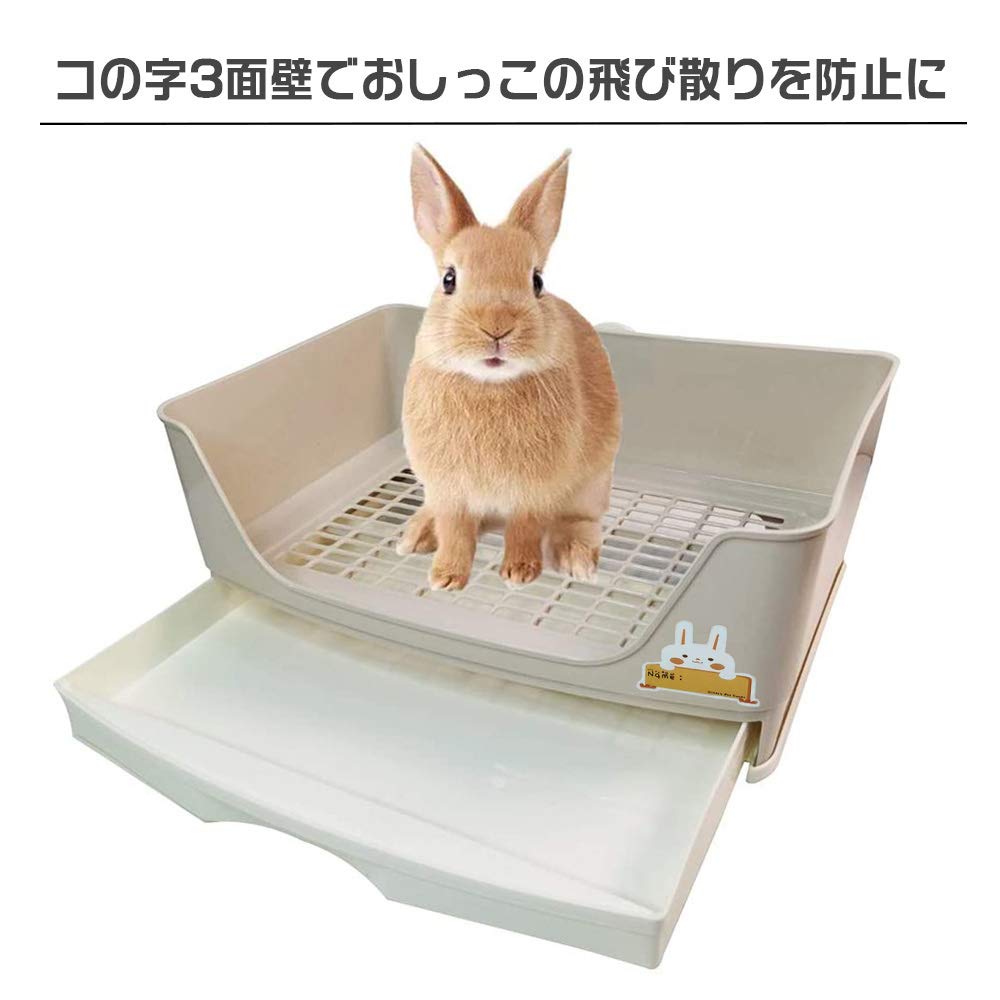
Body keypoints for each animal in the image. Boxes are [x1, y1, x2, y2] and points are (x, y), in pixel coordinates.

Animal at [398, 145, 621, 591]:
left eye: (537, 281)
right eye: (449, 279)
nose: (497, 327)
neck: (489, 384)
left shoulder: (533, 493)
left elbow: (524, 528)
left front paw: (519, 572)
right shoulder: (449, 491)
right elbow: (455, 531)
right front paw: (445, 577)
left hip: (591, 486)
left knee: (578, 521)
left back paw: (575, 558)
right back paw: (416, 534)